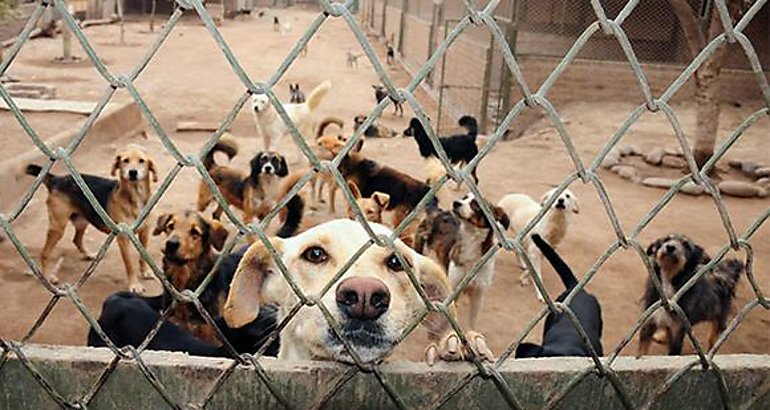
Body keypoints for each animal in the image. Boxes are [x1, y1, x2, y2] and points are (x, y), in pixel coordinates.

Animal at [25, 144, 158, 292]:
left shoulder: (145, 232)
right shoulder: (123, 237)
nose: (133, 172)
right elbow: (129, 265)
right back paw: (48, 276)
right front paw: (135, 285)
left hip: (81, 221)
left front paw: (146, 272)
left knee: (76, 240)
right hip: (57, 227)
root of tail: (56, 179)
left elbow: (143, 256)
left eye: (142, 161)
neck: (135, 196)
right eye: (125, 161)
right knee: (45, 253)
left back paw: (88, 254)